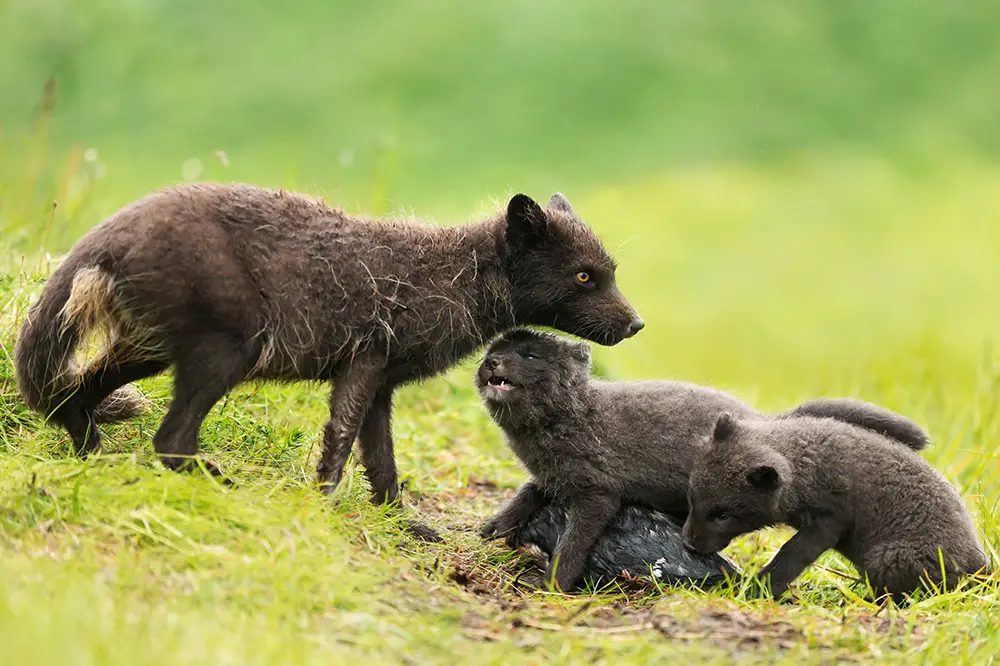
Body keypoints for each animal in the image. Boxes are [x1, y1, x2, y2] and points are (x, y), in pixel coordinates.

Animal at [13, 183, 640, 540]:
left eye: (610, 271)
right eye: (583, 276)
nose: (636, 324)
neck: (449, 278)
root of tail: (110, 230)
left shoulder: (383, 384)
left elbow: (383, 464)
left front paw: (403, 526)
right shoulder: (364, 361)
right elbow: (340, 444)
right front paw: (323, 508)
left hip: (151, 348)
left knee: (78, 391)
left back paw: (91, 458)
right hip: (225, 352)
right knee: (168, 438)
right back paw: (221, 484)